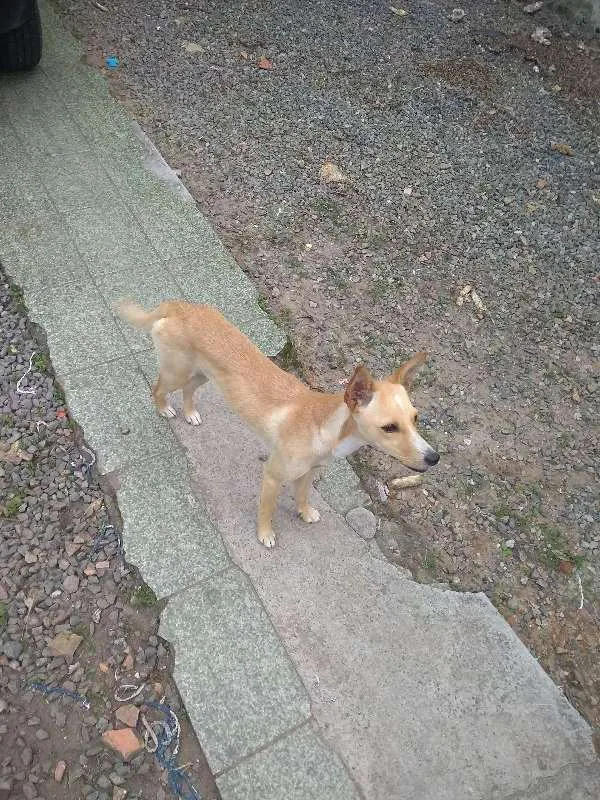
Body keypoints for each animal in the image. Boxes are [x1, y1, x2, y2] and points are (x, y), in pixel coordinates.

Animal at [118, 302, 440, 552]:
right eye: (390, 427)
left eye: (415, 418)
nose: (434, 458)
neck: (323, 427)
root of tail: (179, 305)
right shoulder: (272, 476)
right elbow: (267, 510)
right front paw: (265, 535)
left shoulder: (308, 474)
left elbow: (302, 495)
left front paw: (304, 512)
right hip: (176, 372)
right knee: (157, 389)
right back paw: (164, 409)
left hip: (201, 375)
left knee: (188, 391)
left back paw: (190, 413)